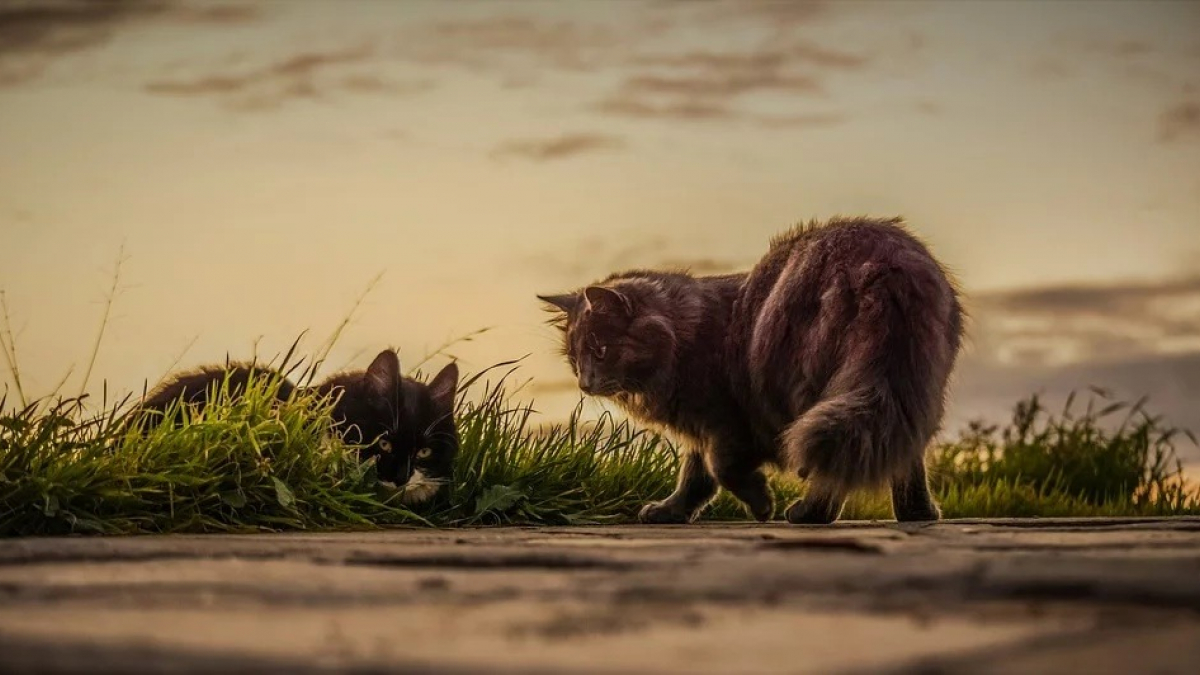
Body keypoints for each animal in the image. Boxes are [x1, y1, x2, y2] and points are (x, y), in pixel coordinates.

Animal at [542, 218, 964, 523]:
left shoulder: (724, 420)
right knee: (903, 452)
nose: (584, 383)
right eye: (575, 359)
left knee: (835, 458)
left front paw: (762, 504)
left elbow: (720, 469)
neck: (686, 334)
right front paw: (671, 511)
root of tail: (884, 260)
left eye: (601, 350)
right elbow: (695, 478)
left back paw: (810, 514)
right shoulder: (701, 429)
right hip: (905, 383)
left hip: (811, 386)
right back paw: (918, 514)